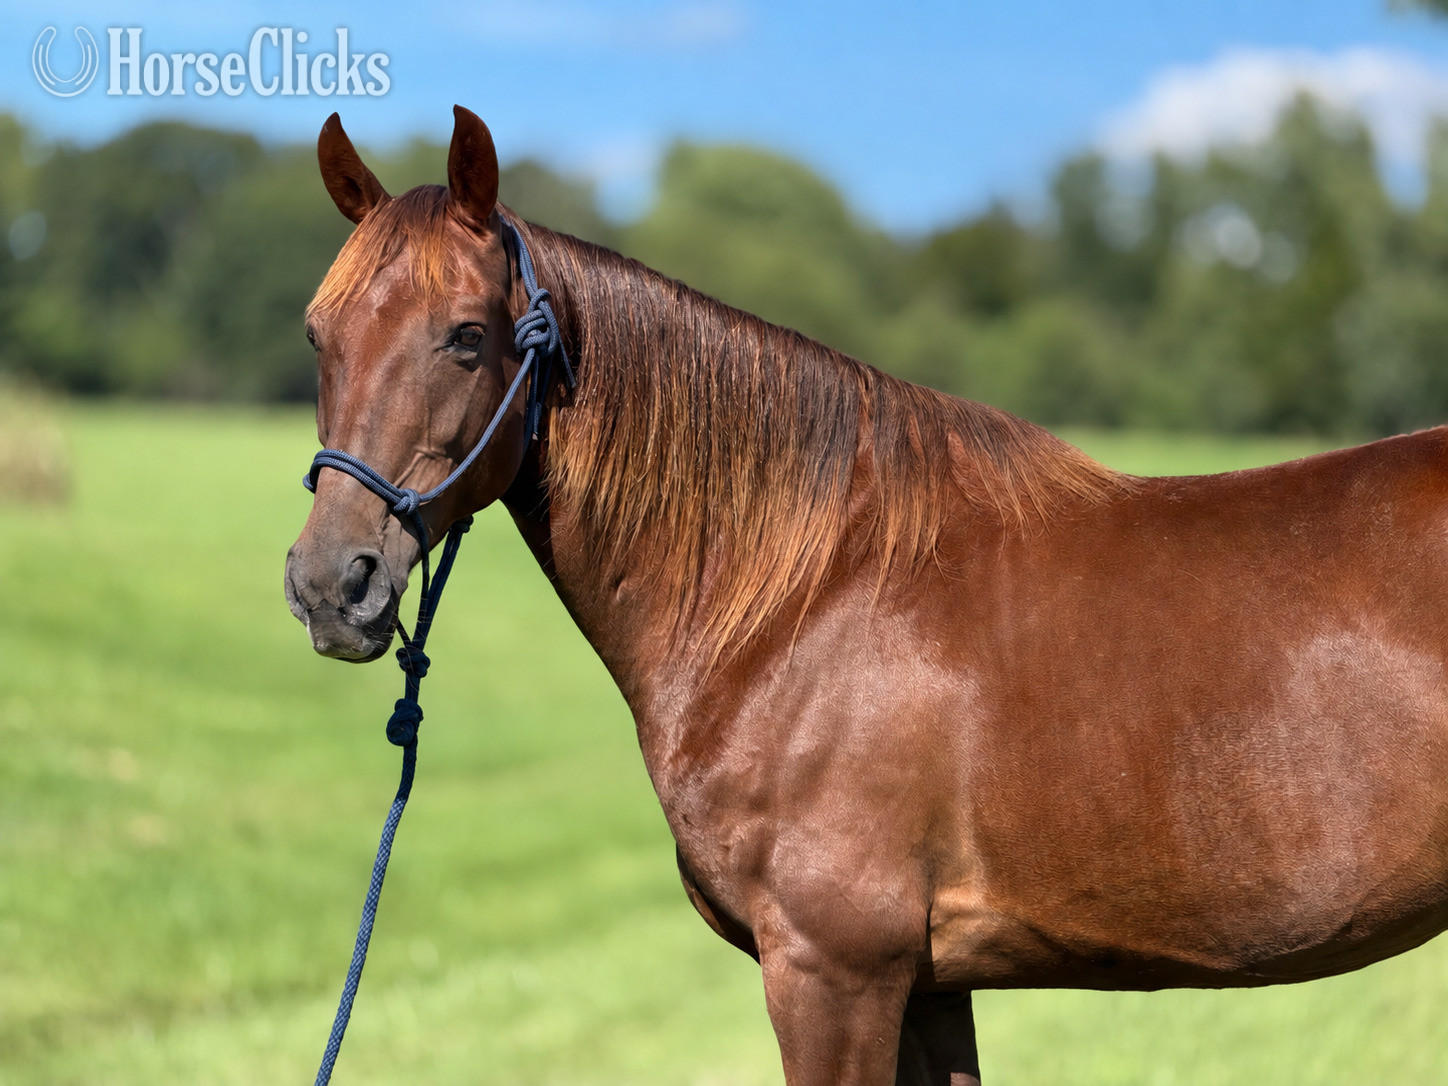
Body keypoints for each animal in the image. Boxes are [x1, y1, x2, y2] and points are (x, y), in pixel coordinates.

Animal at [284, 106, 1448, 1085]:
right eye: (315, 333)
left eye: (465, 335)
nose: (329, 584)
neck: (802, 599)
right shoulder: (928, 986)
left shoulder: (832, 972)